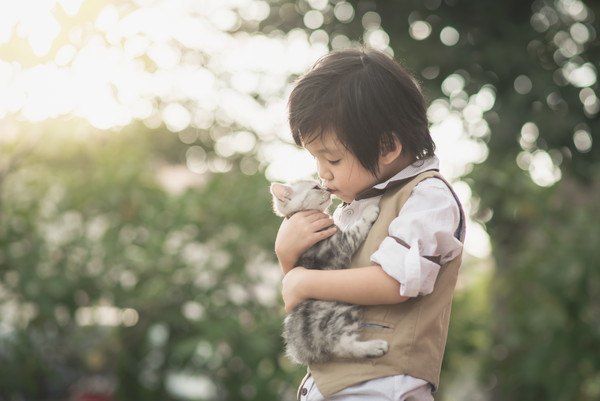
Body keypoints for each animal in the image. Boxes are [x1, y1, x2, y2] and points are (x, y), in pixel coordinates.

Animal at [268, 180, 390, 364]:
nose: (326, 188)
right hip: (343, 309)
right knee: (342, 344)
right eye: (315, 188)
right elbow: (356, 230)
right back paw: (374, 347)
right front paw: (369, 212)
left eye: (320, 184)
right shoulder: (340, 245)